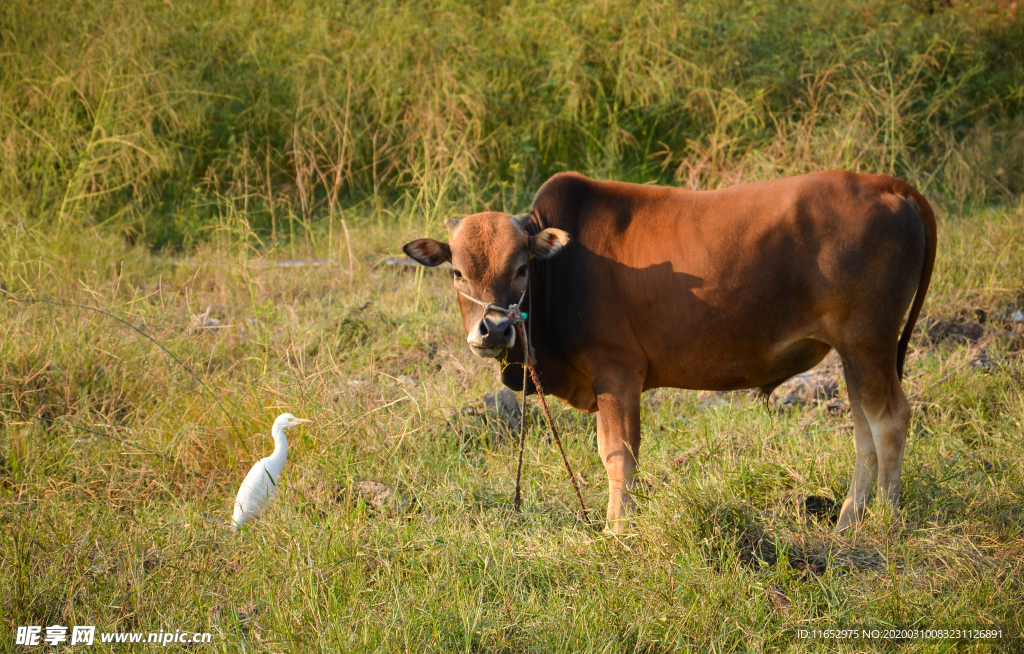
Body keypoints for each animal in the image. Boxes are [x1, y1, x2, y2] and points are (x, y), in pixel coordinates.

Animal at [401, 171, 937, 536]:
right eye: (456, 272)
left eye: (520, 268)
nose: (492, 329)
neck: (562, 267)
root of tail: (886, 184)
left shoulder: (617, 371)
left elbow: (618, 455)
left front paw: (617, 531)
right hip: (856, 352)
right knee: (864, 428)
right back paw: (849, 518)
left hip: (867, 342)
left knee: (889, 420)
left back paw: (885, 518)